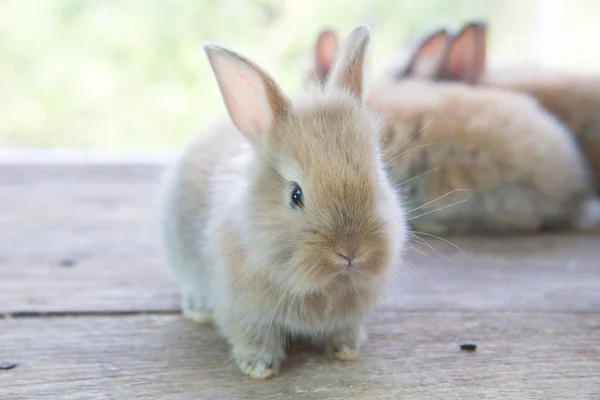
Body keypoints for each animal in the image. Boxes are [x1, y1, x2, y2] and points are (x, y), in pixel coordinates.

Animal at [158, 24, 408, 378]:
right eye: (295, 195)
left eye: (378, 176)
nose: (350, 252)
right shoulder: (243, 310)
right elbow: (253, 336)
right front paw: (260, 368)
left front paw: (345, 350)